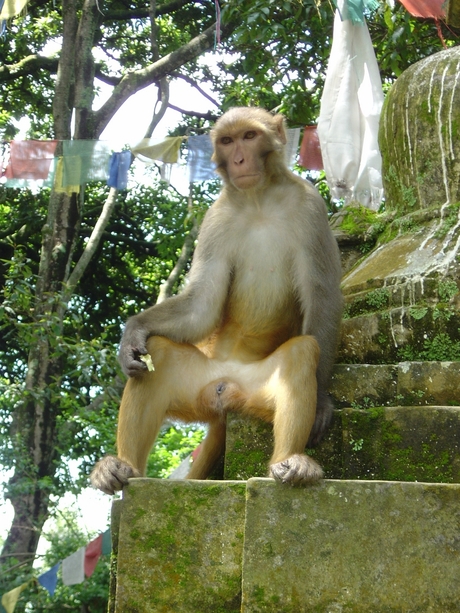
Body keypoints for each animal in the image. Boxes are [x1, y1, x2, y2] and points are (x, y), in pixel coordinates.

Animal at [90, 107, 342, 494]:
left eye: (249, 137)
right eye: (227, 140)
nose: (238, 160)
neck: (258, 201)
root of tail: (225, 390)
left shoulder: (311, 208)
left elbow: (322, 297)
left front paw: (324, 400)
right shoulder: (215, 218)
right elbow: (202, 305)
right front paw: (132, 334)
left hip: (255, 392)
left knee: (302, 352)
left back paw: (291, 461)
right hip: (196, 385)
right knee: (160, 353)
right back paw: (123, 467)